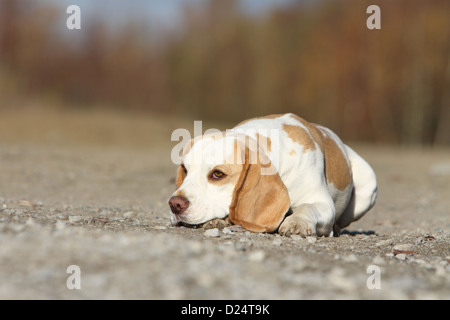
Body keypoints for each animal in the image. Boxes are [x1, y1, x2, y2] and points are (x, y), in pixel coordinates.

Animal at [168, 114, 376, 236]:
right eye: (185, 169)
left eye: (217, 174)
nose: (175, 204)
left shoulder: (321, 202)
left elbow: (308, 208)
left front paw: (297, 222)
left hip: (369, 187)